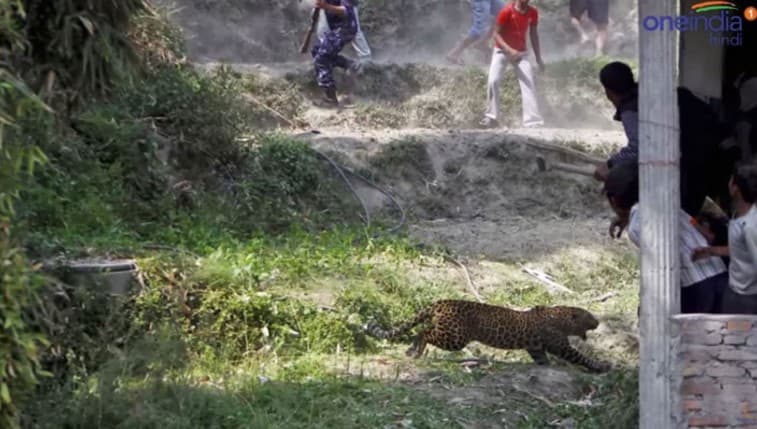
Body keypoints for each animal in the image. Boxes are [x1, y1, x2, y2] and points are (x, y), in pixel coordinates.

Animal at [365, 299, 611, 373]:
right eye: (589, 316)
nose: (598, 322)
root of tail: (440, 302)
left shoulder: (535, 347)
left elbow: (542, 360)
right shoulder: (560, 346)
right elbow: (581, 357)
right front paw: (602, 366)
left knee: (423, 329)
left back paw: (412, 349)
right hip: (455, 338)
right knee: (423, 331)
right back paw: (416, 350)